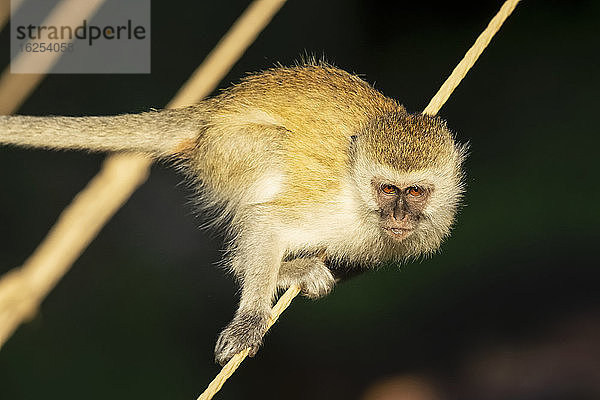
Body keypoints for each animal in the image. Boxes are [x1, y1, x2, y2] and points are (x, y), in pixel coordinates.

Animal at [0, 63, 468, 366]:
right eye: (388, 189)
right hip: (228, 149)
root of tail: (213, 109)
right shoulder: (333, 205)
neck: (359, 194)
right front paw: (251, 319)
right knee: (272, 159)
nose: (400, 217)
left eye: (415, 192)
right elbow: (268, 224)